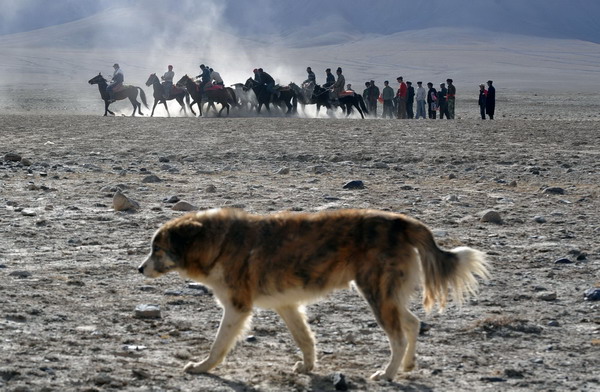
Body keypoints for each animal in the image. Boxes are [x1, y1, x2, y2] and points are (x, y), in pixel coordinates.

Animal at [138, 208, 490, 380]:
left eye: (157, 249)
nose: (139, 269)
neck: (218, 242)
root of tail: (401, 221)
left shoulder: (237, 307)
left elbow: (218, 345)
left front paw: (202, 367)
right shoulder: (287, 305)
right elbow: (305, 339)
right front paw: (307, 368)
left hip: (376, 293)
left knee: (398, 337)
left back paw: (388, 373)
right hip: (386, 294)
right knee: (414, 323)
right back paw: (407, 366)